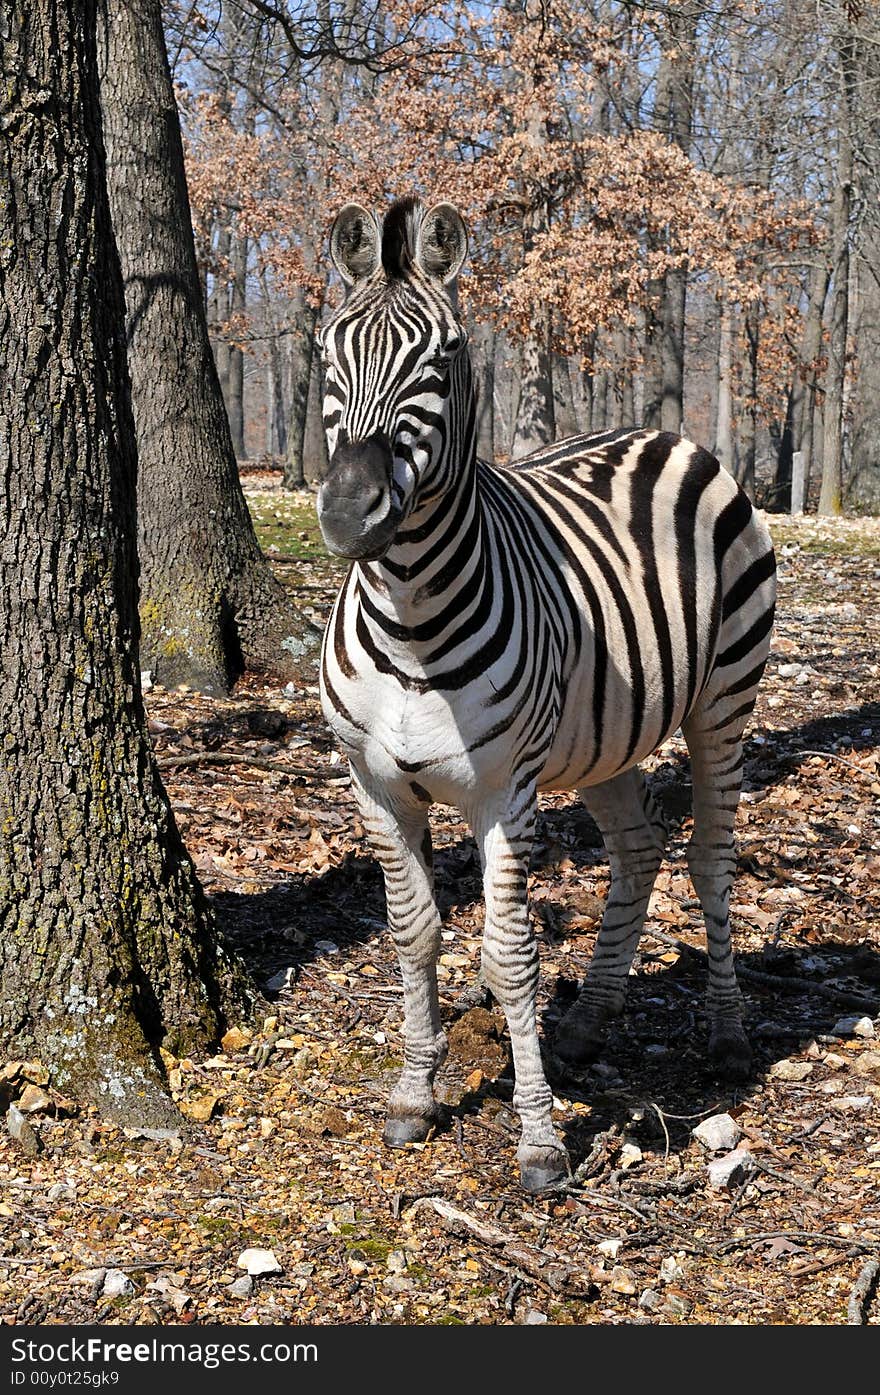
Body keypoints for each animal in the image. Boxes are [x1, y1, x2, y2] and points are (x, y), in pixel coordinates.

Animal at [316, 196, 775, 1194]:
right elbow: (413, 933)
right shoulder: (375, 785)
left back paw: (726, 1034)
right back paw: (590, 1022)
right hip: (606, 731)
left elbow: (511, 954)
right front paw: (415, 1094)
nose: (346, 513)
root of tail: (663, 433)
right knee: (639, 850)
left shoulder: (506, 794)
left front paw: (538, 1140)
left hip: (723, 702)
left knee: (708, 858)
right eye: (326, 352)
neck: (410, 617)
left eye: (443, 359)